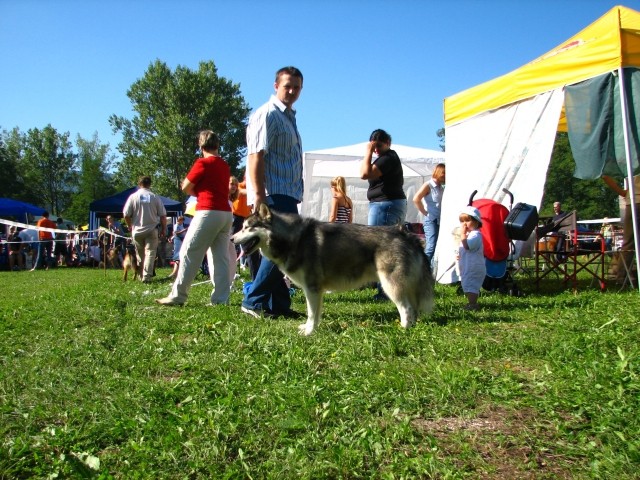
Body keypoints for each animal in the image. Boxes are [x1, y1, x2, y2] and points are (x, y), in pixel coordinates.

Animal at [231, 204, 436, 336]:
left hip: (391, 285)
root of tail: (405, 233)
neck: (292, 239)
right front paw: (309, 328)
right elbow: (314, 314)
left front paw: (309, 332)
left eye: (247, 228)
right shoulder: (314, 290)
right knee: (413, 309)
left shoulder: (312, 288)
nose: (232, 239)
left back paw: (403, 329)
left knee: (407, 309)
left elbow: (311, 313)